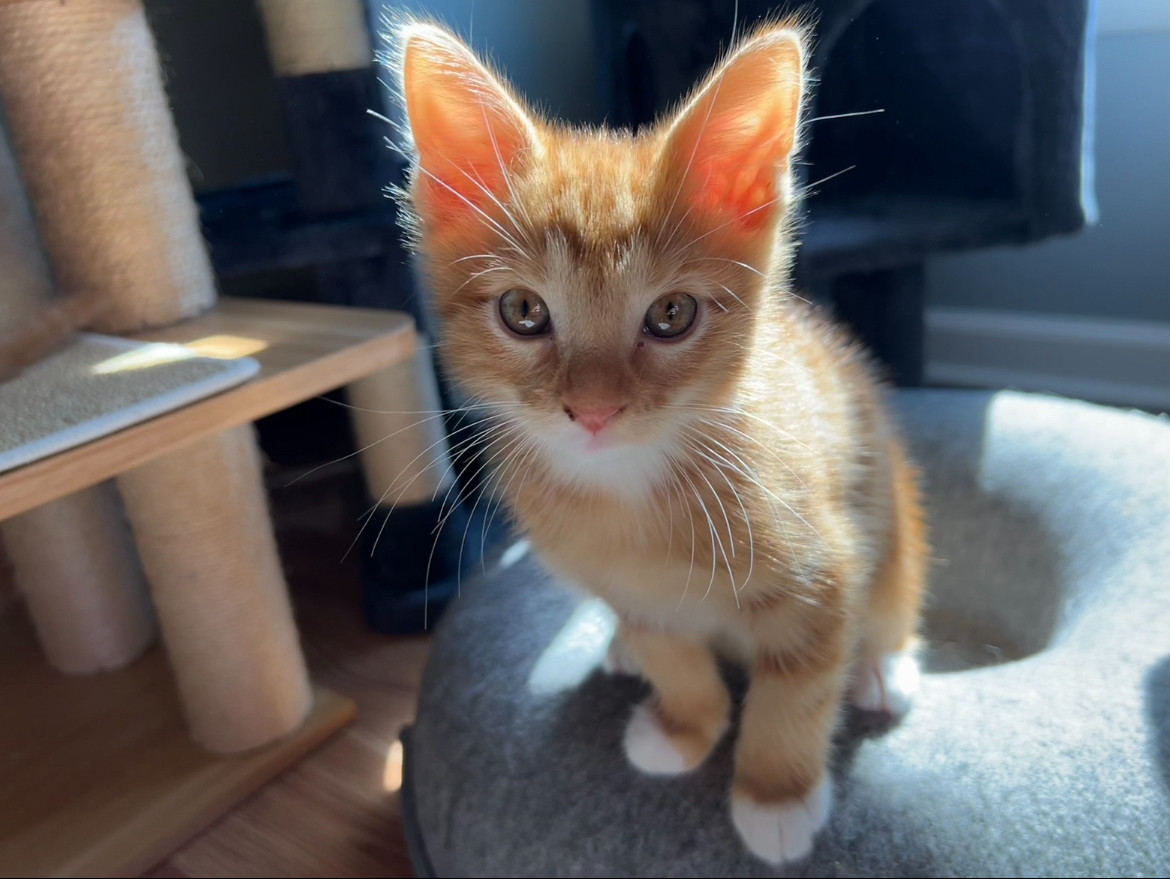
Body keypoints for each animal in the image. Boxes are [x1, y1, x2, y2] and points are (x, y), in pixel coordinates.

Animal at [397, 18, 926, 866]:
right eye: (523, 311)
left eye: (672, 314)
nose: (593, 409)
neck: (629, 496)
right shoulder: (628, 587)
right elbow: (672, 653)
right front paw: (685, 725)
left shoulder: (825, 570)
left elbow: (797, 688)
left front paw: (775, 793)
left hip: (890, 510)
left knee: (889, 601)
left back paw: (882, 666)